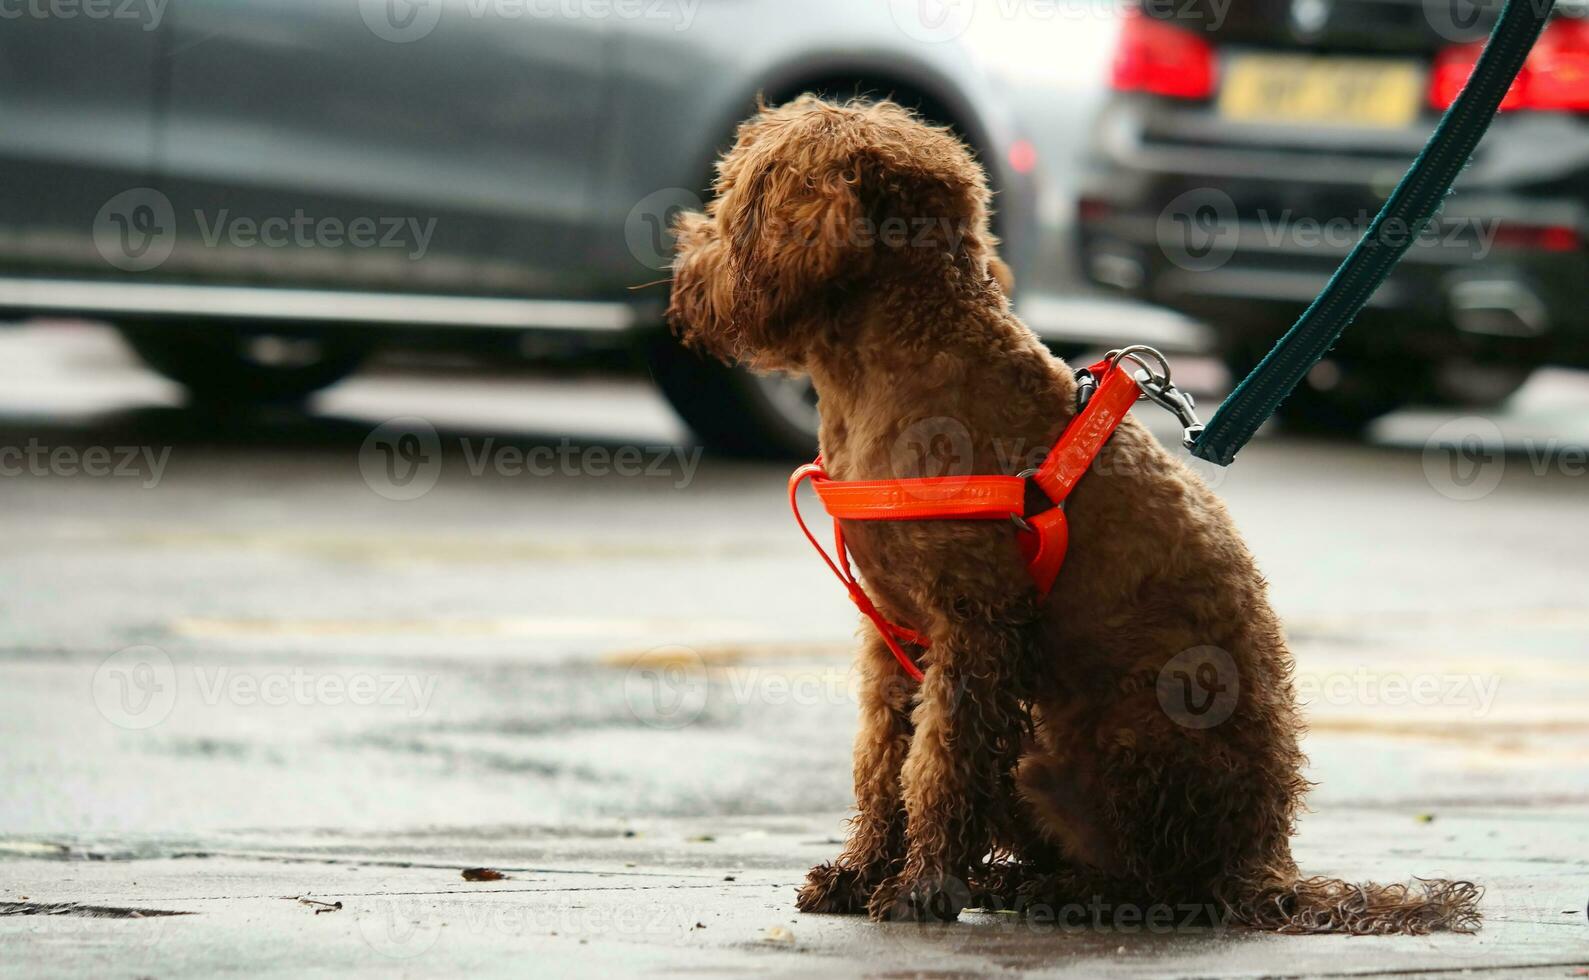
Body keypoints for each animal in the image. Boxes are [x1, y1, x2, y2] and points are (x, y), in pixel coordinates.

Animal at [664, 97, 1480, 933]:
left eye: (736, 195)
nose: (684, 261)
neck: (889, 368)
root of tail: (1262, 865)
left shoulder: (974, 628)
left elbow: (938, 765)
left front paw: (921, 885)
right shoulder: (892, 638)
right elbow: (882, 761)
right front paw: (862, 870)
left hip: (1108, 737)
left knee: (1158, 884)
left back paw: (1057, 891)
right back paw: (1010, 878)